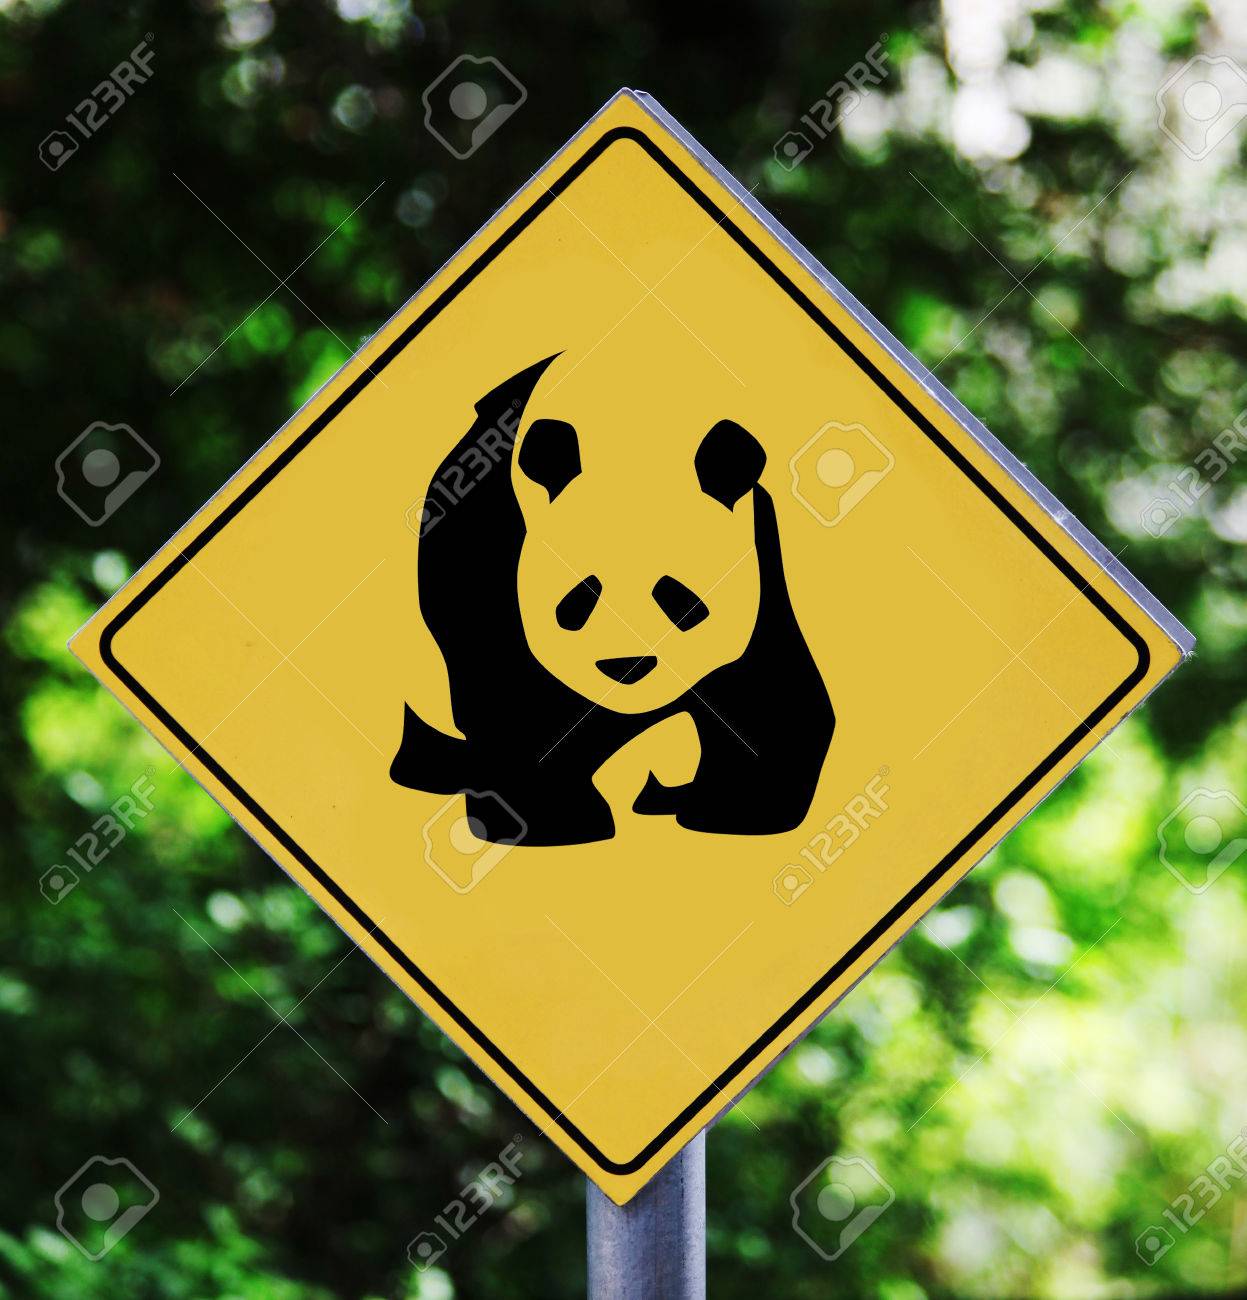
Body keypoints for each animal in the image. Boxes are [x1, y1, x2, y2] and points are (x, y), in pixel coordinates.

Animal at [390, 353, 834, 846]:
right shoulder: (485, 558)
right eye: (579, 597)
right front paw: (549, 820)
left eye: (679, 597)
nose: (628, 665)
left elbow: (766, 693)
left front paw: (738, 811)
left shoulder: (761, 562)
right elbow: (515, 702)